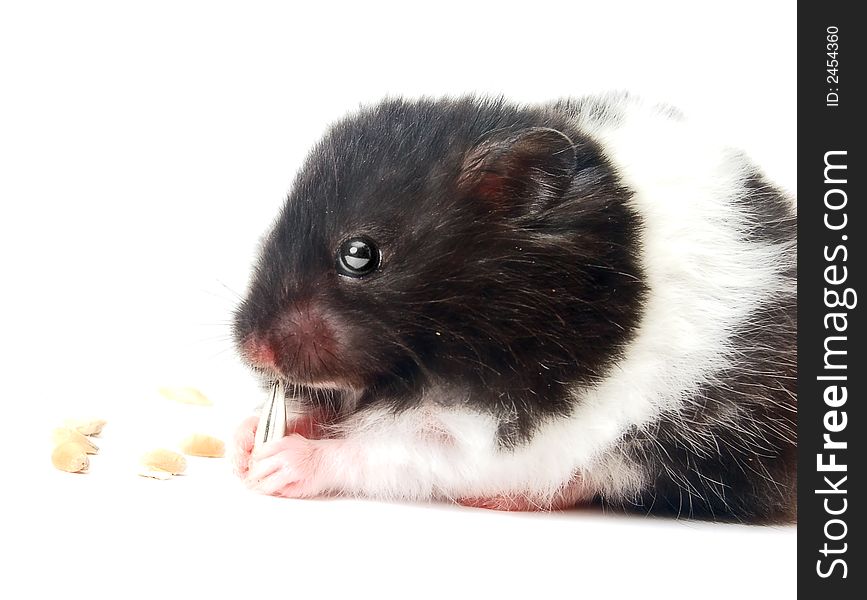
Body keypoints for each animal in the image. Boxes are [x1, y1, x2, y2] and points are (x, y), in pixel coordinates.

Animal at [232, 95, 800, 524]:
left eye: (358, 254)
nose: (251, 350)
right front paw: (247, 441)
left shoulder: (498, 428)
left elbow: (395, 449)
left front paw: (280, 463)